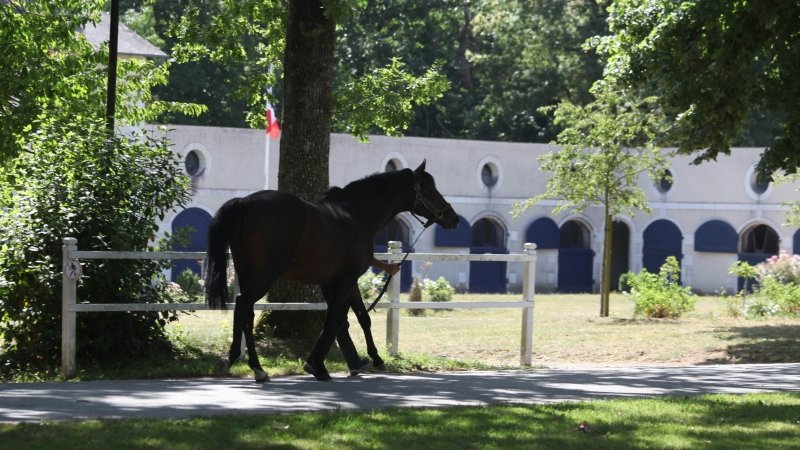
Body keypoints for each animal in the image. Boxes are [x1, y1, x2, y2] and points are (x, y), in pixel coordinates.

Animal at [204, 160, 459, 381]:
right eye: (429, 188)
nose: (452, 217)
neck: (357, 213)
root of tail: (246, 202)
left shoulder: (337, 281)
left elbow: (356, 318)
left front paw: (368, 360)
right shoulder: (348, 278)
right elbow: (336, 317)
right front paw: (317, 365)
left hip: (246, 271)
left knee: (245, 311)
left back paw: (242, 361)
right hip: (265, 275)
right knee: (243, 304)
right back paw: (253, 366)